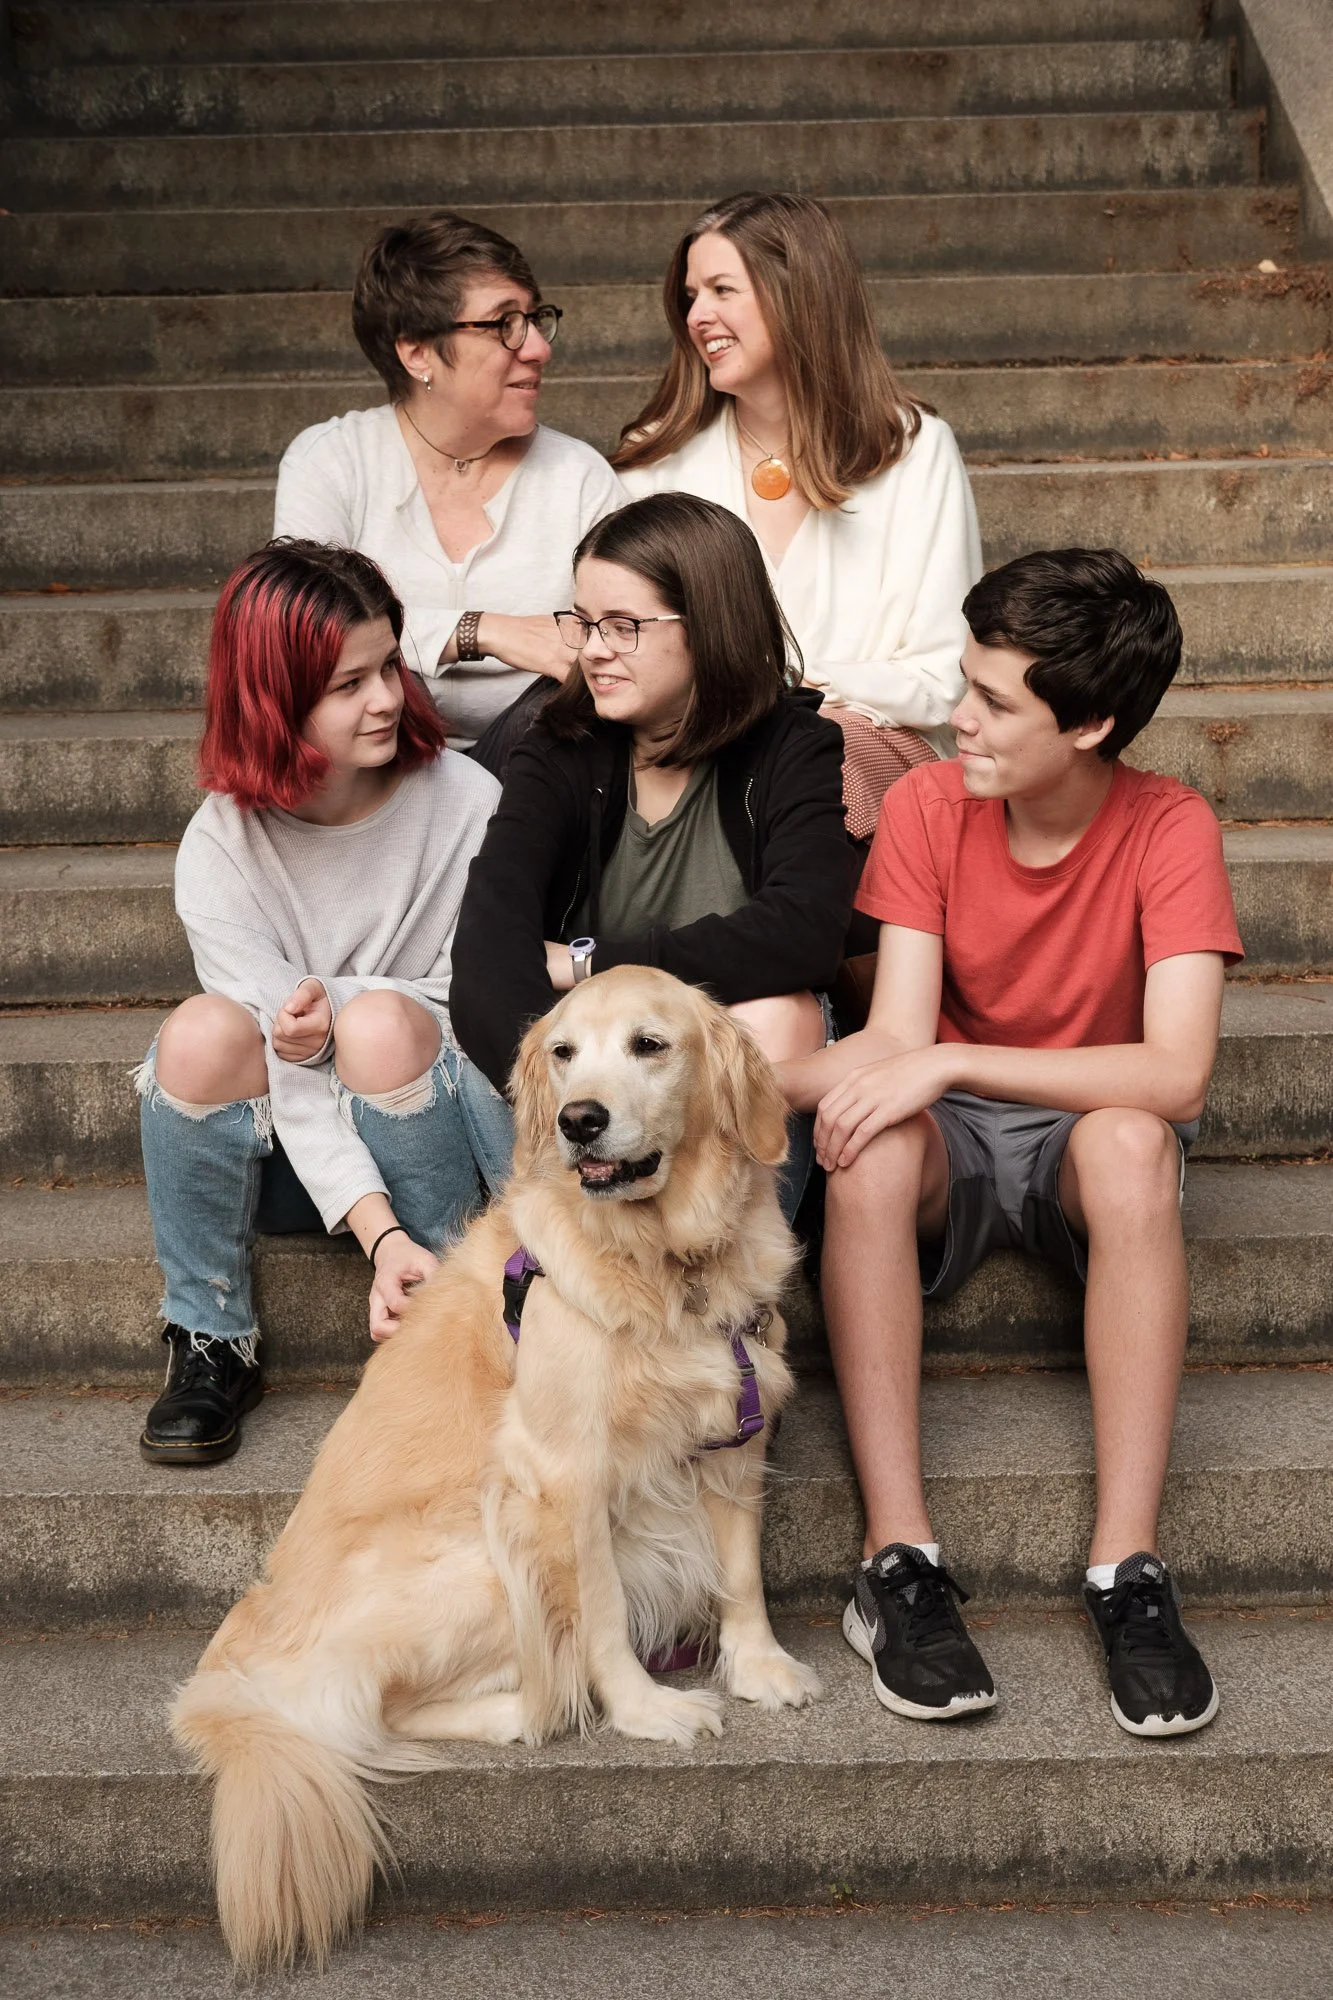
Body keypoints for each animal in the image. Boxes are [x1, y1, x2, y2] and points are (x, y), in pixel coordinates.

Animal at [171, 965, 822, 1970]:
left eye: (650, 1045)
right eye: (563, 1053)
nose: (581, 1120)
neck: (663, 1263)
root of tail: (228, 1673)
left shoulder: (732, 1429)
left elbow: (741, 1573)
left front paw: (760, 1667)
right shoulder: (562, 1472)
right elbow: (601, 1615)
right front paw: (645, 1710)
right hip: (483, 1547)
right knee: (370, 1711)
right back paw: (526, 1709)